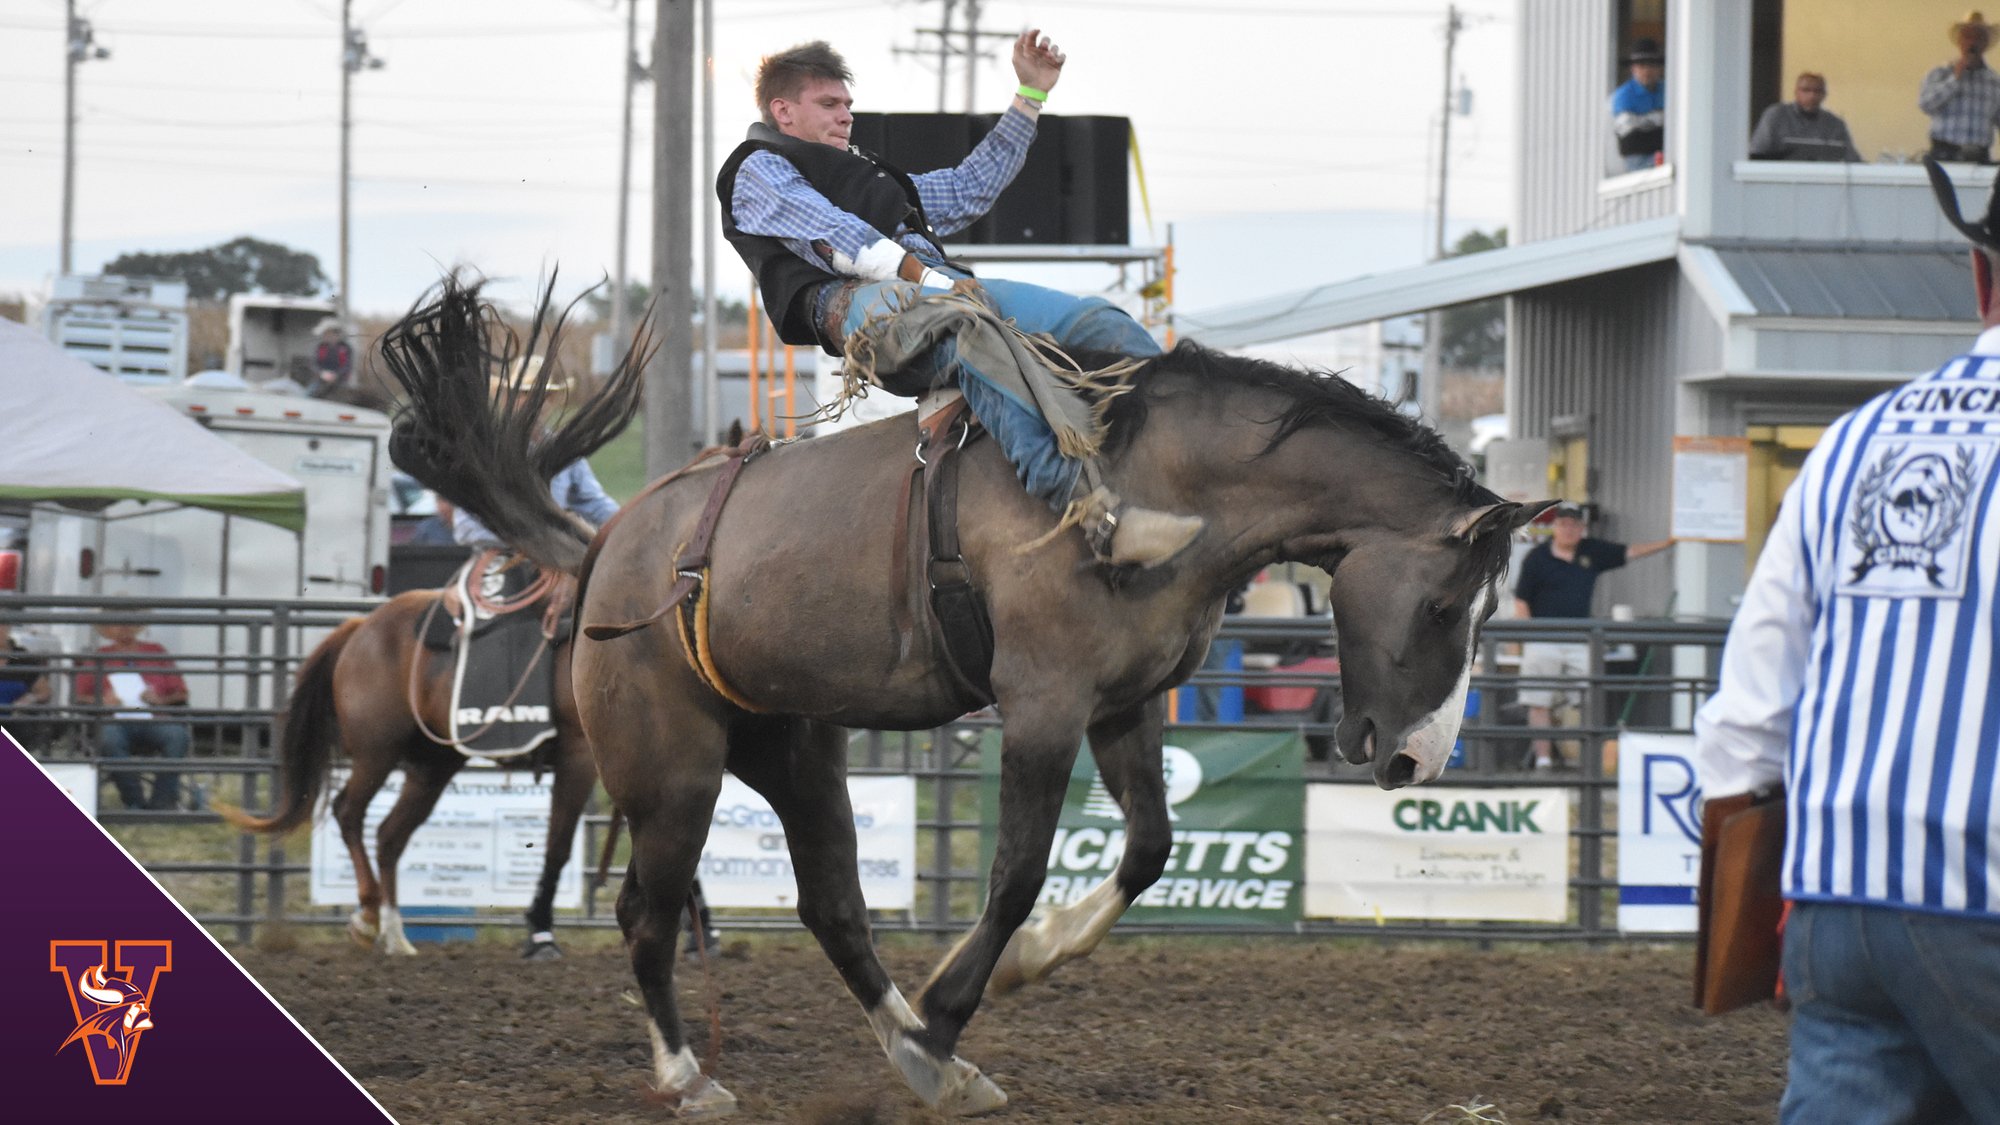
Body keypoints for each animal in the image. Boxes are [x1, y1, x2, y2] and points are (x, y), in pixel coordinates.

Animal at [220, 588, 596, 952]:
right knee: (349, 812)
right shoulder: (578, 755)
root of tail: (362, 626)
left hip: (433, 765)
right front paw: (541, 934)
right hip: (377, 753)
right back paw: (369, 917)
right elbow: (559, 846)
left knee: (389, 834)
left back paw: (395, 934)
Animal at [382, 278, 1552, 1112]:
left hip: (795, 748)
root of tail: (613, 543)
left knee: (834, 907)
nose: (1413, 759)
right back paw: (694, 1075)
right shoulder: (1042, 704)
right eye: (1444, 607)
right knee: (646, 911)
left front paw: (1014, 976)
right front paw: (956, 1007)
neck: (1159, 483)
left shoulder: (1124, 706)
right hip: (671, 768)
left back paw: (910, 1048)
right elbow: (1018, 868)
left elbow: (1148, 847)